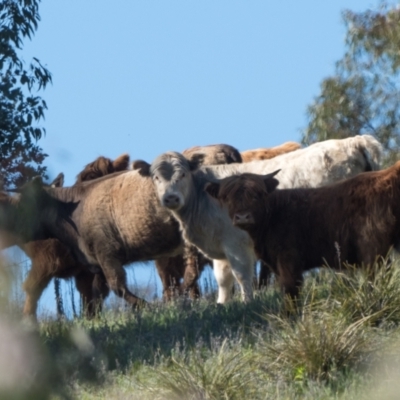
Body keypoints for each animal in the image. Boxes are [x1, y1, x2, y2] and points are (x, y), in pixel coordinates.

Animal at [205, 161, 400, 298]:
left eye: (257, 195)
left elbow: (291, 293)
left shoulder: (289, 261)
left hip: (372, 250)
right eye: (226, 197)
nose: (243, 217)